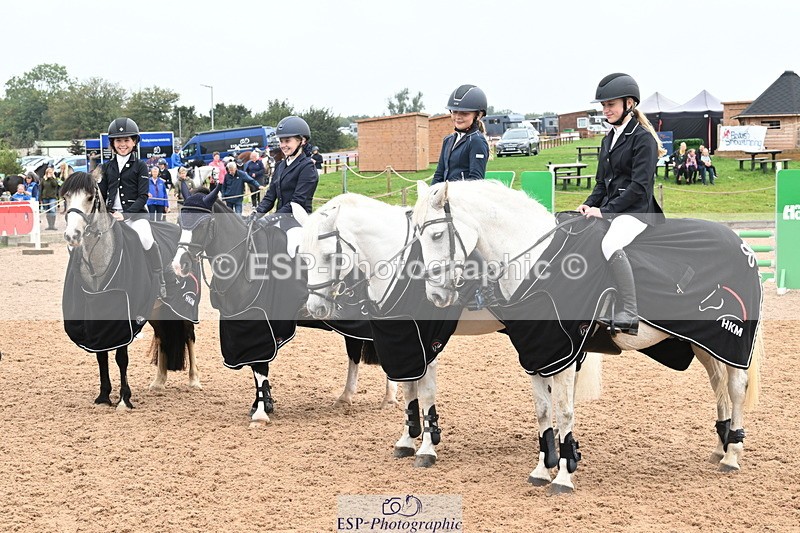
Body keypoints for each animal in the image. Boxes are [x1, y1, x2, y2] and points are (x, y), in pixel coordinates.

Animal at [60, 171, 200, 410]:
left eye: (90, 197)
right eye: (66, 196)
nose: (73, 235)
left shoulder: (124, 314)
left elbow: (121, 357)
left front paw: (124, 399)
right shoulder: (98, 312)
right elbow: (101, 355)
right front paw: (103, 396)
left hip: (184, 305)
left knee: (189, 335)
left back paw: (194, 380)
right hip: (155, 309)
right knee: (162, 336)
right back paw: (158, 381)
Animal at [171, 182, 397, 427]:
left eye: (203, 224)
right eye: (179, 222)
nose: (179, 265)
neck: (247, 261)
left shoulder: (257, 325)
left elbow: (260, 367)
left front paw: (261, 413)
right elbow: (257, 370)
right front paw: (262, 404)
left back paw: (389, 398)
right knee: (354, 350)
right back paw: (345, 397)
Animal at [291, 194, 601, 477]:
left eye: (330, 256)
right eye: (303, 257)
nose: (315, 308)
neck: (401, 263)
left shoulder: (425, 342)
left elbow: (426, 394)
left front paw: (427, 448)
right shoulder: (404, 340)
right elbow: (409, 391)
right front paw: (407, 440)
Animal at [412, 179, 764, 485]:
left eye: (437, 235)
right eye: (417, 235)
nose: (435, 296)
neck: (538, 260)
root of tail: (741, 243)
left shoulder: (563, 352)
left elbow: (565, 411)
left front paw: (564, 477)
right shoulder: (536, 352)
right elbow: (543, 411)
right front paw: (542, 470)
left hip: (730, 341)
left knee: (735, 387)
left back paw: (732, 455)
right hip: (703, 343)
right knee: (718, 385)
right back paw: (719, 448)